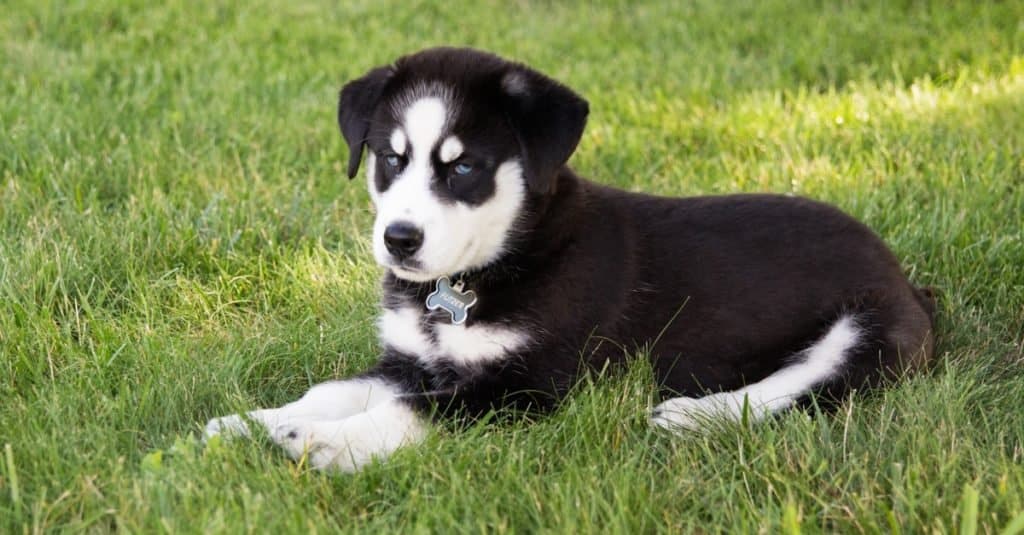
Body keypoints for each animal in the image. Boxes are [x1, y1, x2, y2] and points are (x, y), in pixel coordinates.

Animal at [201, 47, 937, 469]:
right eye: (390, 158)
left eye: (463, 166)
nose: (400, 240)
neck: (490, 267)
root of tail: (905, 278)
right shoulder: (410, 361)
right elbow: (332, 390)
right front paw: (255, 421)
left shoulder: (533, 382)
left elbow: (417, 410)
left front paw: (330, 442)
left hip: (866, 328)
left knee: (800, 385)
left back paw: (692, 415)